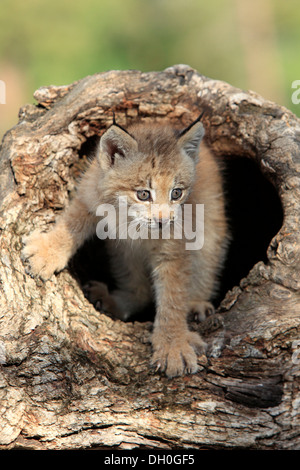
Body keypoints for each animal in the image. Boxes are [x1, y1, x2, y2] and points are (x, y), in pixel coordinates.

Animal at [23, 116, 229, 378]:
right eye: (143, 194)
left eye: (176, 193)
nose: (163, 221)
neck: (131, 221)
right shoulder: (90, 196)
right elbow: (72, 222)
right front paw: (47, 251)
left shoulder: (174, 250)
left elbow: (172, 298)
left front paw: (173, 346)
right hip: (122, 252)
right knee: (140, 290)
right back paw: (110, 300)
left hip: (210, 230)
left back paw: (197, 304)